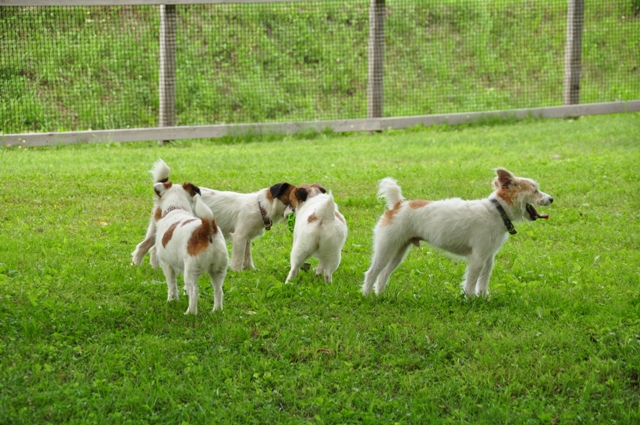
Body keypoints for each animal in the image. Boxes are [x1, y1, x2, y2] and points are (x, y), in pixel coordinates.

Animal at [132, 157, 300, 270]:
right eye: (290, 201)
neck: (261, 206)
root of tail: (165, 192)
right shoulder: (240, 237)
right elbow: (238, 258)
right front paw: (237, 272)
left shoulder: (247, 238)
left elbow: (247, 256)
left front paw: (250, 270)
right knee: (144, 247)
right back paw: (138, 266)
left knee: (151, 248)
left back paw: (153, 266)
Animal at [152, 173, 228, 314]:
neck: (176, 209)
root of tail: (207, 229)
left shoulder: (167, 264)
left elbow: (172, 285)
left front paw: (172, 300)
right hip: (218, 269)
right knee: (218, 290)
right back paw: (216, 310)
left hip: (191, 270)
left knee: (194, 291)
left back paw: (190, 313)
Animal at [362, 167, 552, 296]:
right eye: (535, 190)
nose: (551, 198)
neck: (497, 211)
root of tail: (398, 204)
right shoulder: (477, 259)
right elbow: (471, 282)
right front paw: (470, 299)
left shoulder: (488, 259)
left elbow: (483, 281)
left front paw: (484, 298)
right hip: (386, 248)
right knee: (372, 273)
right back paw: (367, 296)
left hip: (398, 252)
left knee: (383, 274)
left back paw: (380, 295)